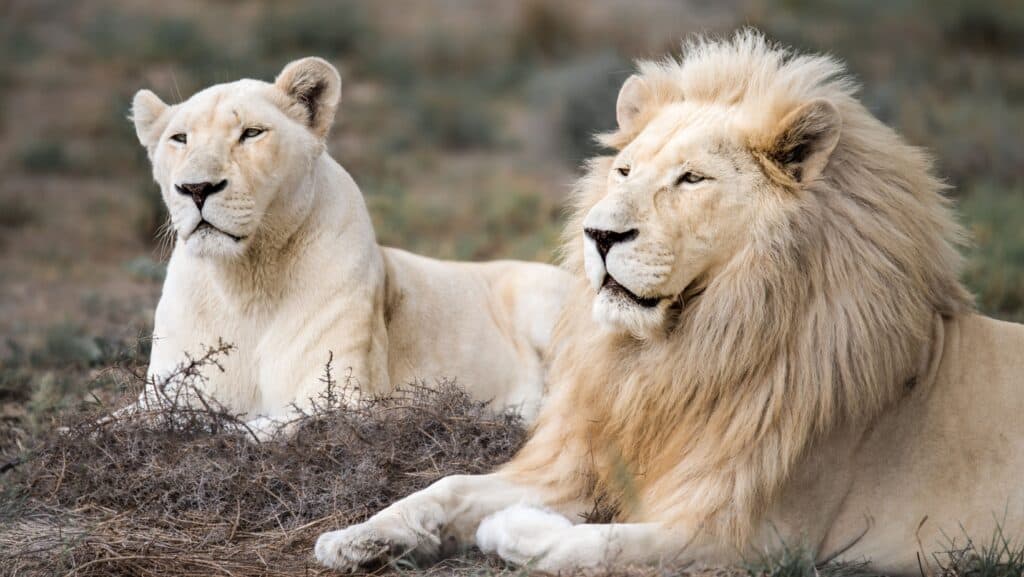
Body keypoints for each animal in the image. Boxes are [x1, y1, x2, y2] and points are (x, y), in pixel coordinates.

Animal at [128, 57, 568, 437]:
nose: (196, 188)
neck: (244, 281)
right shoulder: (161, 392)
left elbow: (252, 431)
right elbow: (118, 423)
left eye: (251, 133)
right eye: (179, 139)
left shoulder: (346, 398)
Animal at [314, 32, 1024, 575]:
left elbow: (595, 543)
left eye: (691, 179)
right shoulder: (583, 462)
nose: (599, 235)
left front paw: (513, 530)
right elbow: (449, 486)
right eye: (625, 171)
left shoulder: (751, 536)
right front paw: (357, 536)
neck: (674, 358)